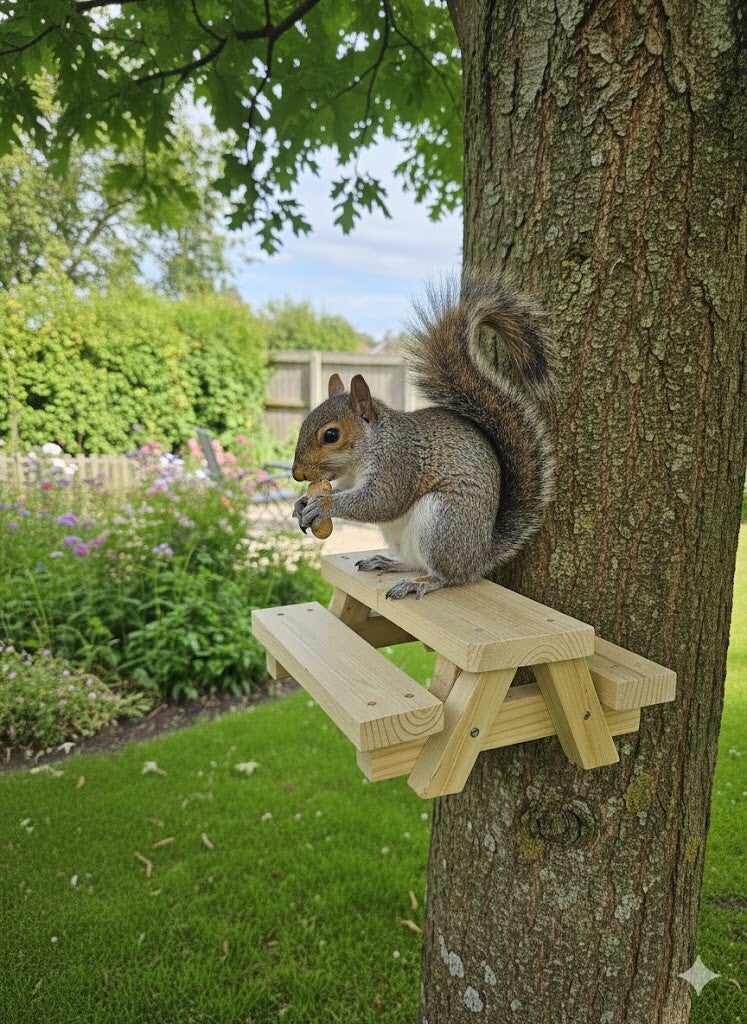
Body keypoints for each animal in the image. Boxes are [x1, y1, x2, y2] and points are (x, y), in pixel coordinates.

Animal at [291, 275, 557, 600]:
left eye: (331, 435)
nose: (297, 473)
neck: (372, 446)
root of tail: (480, 554)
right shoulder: (352, 478)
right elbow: (346, 490)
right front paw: (303, 502)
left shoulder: (399, 463)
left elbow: (380, 502)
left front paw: (323, 505)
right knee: (414, 562)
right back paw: (389, 563)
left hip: (442, 524)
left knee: (447, 575)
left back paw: (421, 583)